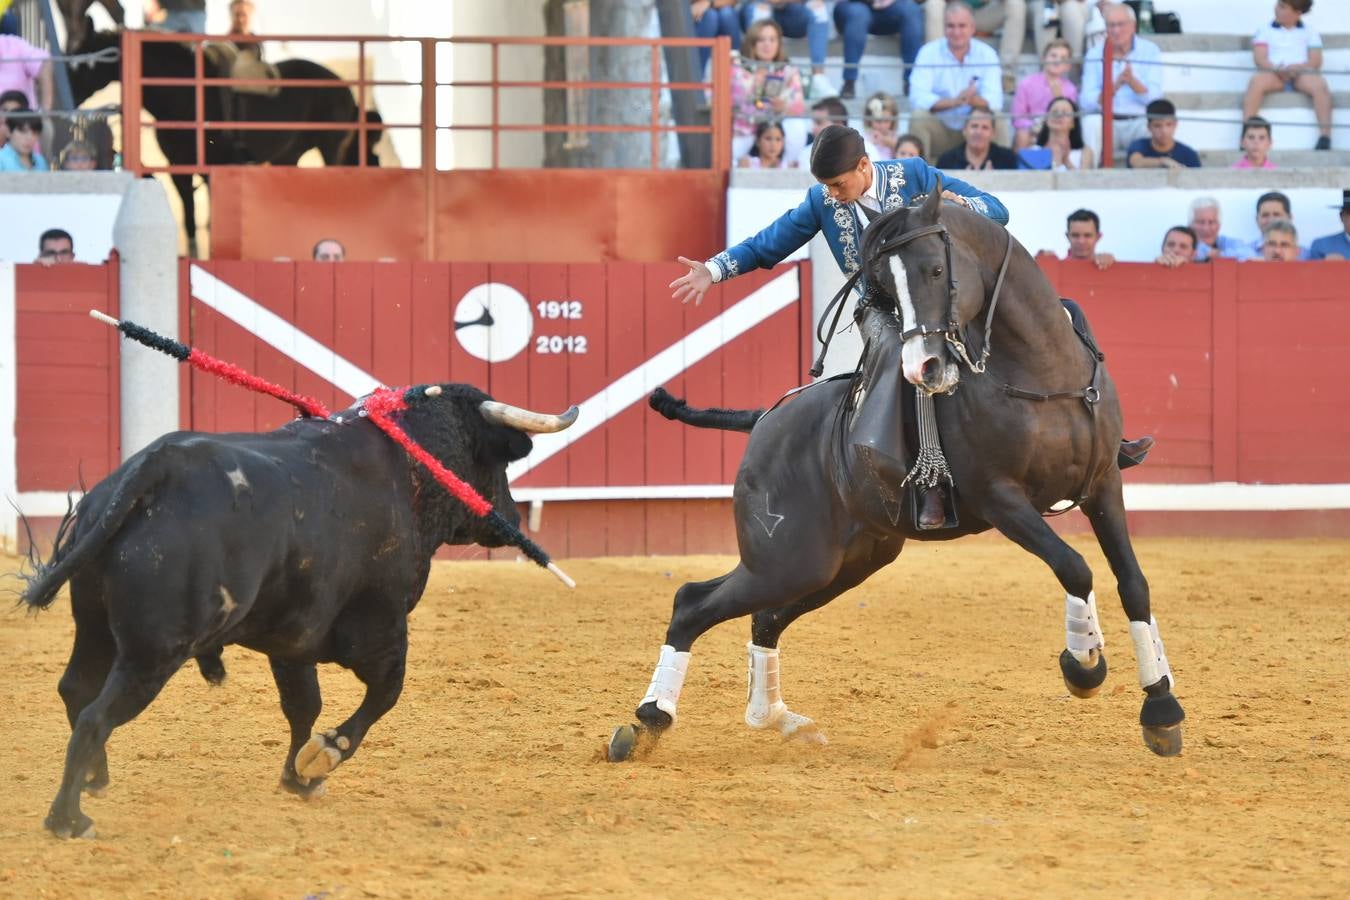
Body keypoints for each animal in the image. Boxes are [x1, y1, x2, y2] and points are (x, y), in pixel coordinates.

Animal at [19, 383, 575, 841]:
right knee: (95, 716)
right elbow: (385, 693)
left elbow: (303, 704)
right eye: (499, 463)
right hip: (154, 651)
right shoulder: (381, 625)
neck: (407, 471)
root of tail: (155, 469)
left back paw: (95, 778)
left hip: (96, 627)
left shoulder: (292, 638)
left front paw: (297, 778)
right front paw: (322, 757)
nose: (511, 517)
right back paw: (68, 819)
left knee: (75, 689)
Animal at [607, 186, 1188, 766]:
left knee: (763, 618)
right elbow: (1075, 566)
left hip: (844, 561)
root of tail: (766, 418)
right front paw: (1084, 665)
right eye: (885, 283)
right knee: (692, 602)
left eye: (935, 269)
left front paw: (1161, 709)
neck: (1042, 376)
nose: (923, 368)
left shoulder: (1103, 485)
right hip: (785, 559)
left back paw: (777, 720)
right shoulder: (1001, 499)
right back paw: (645, 724)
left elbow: (1133, 583)